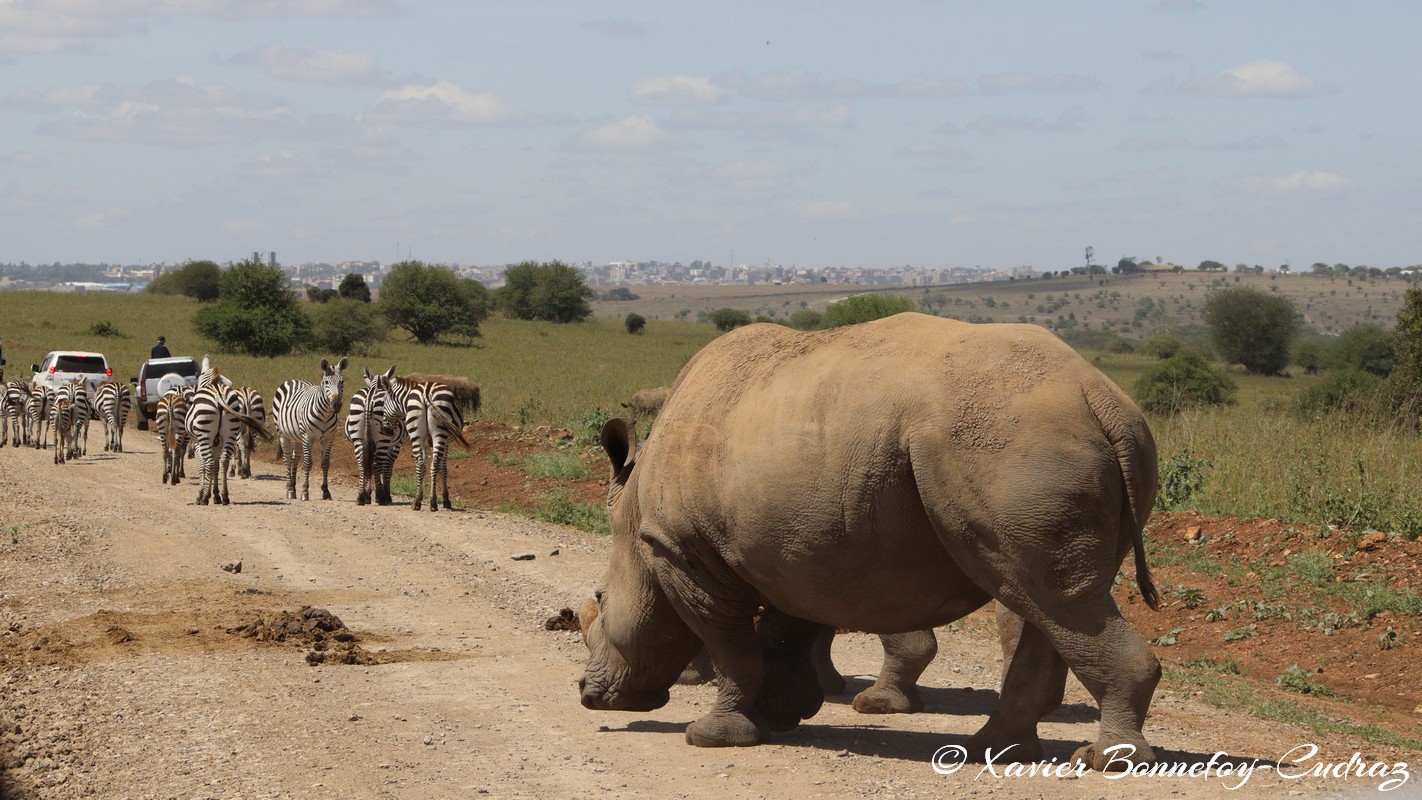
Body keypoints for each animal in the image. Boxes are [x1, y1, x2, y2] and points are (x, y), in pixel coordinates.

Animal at [184, 358, 267, 505]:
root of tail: (218, 393)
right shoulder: (218, 443)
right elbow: (217, 466)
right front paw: (215, 494)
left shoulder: (199, 443)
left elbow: (202, 466)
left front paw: (202, 494)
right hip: (232, 433)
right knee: (225, 460)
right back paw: (225, 495)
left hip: (207, 435)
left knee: (212, 461)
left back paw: (205, 498)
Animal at [273, 356, 348, 500]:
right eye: (326, 382)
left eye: (342, 382)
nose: (336, 405)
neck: (325, 414)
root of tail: (294, 380)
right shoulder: (308, 437)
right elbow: (308, 463)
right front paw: (305, 491)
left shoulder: (329, 438)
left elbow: (325, 463)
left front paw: (326, 491)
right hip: (283, 434)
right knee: (287, 459)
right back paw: (289, 489)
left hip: (298, 437)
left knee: (294, 459)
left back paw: (293, 488)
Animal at [345, 363, 403, 503]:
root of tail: (370, 395)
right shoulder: (395, 444)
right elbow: (387, 468)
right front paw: (385, 495)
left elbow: (370, 465)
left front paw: (368, 494)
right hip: (383, 439)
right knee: (377, 464)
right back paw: (381, 497)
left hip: (358, 436)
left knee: (362, 462)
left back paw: (361, 496)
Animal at [381, 375, 469, 514]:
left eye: (384, 403)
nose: (385, 430)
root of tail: (426, 392)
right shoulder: (444, 443)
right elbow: (443, 468)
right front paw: (446, 500)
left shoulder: (425, 441)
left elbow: (426, 466)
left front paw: (422, 497)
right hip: (440, 434)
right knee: (434, 465)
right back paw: (432, 503)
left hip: (417, 433)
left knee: (421, 465)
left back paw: (417, 502)